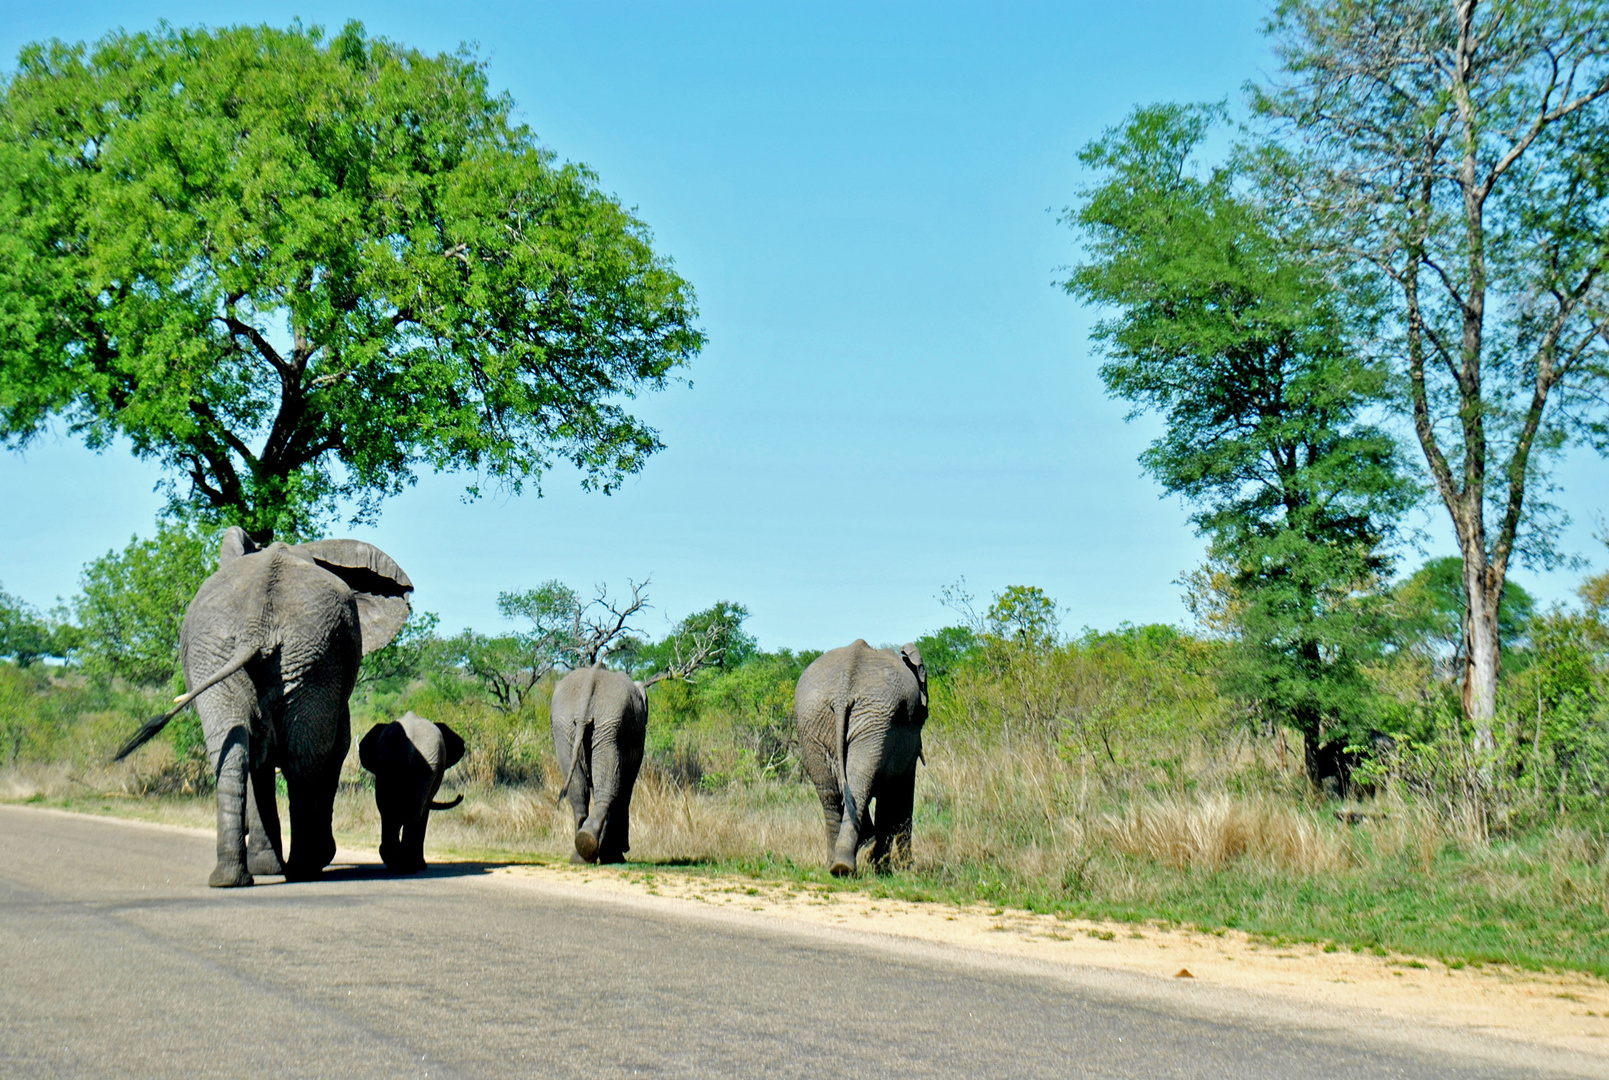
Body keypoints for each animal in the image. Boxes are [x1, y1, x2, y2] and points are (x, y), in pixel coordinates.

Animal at [114, 524, 411, 888]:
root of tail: (257, 625)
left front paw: (268, 866)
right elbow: (332, 753)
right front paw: (295, 862)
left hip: (235, 651)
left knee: (236, 752)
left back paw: (233, 877)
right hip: (306, 655)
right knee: (301, 760)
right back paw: (302, 871)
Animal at [358, 714, 466, 875]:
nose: (460, 795)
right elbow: (423, 813)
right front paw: (421, 865)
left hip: (389, 762)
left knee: (388, 810)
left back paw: (396, 864)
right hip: (425, 767)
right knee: (414, 812)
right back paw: (408, 866)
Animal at [550, 663, 643, 869]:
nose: (627, 848)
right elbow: (625, 790)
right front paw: (615, 856)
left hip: (568, 727)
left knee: (578, 791)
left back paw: (581, 854)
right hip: (609, 724)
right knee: (610, 790)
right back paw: (594, 852)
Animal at [794, 643, 933, 875]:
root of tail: (842, 692)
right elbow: (900, 798)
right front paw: (898, 867)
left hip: (817, 722)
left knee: (831, 795)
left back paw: (838, 865)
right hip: (873, 721)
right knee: (859, 790)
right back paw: (851, 863)